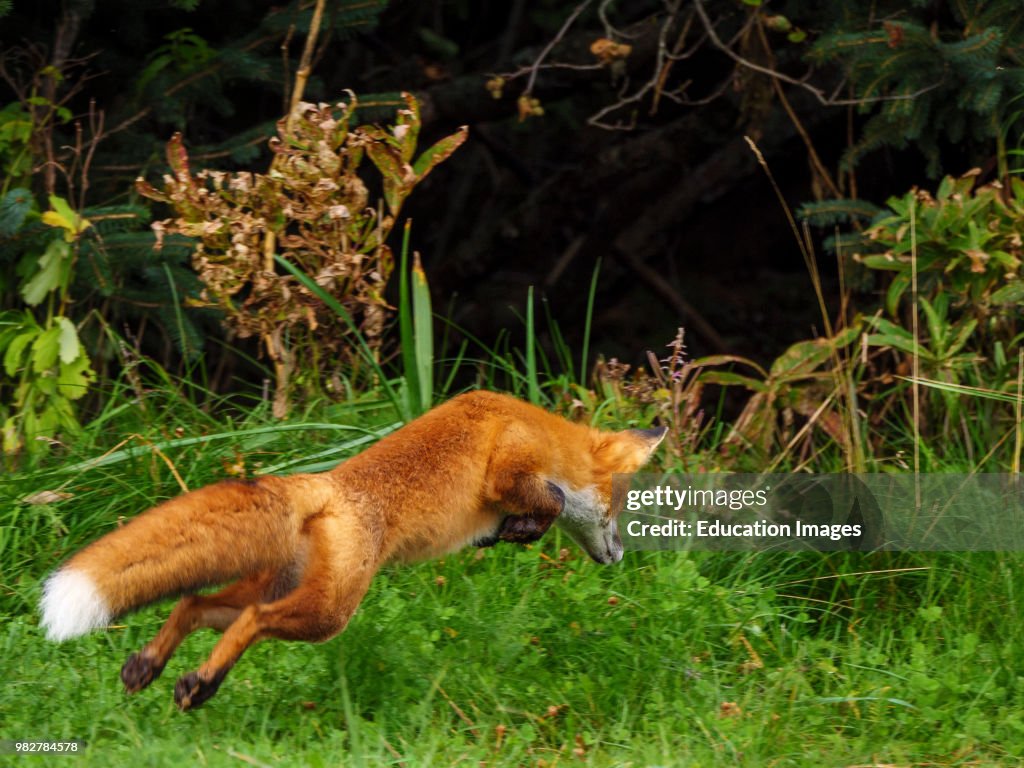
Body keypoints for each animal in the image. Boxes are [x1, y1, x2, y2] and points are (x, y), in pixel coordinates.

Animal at [39, 390, 666, 710]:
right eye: (619, 510)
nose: (620, 558)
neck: (546, 433)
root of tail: (325, 485)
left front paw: (508, 532)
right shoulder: (507, 470)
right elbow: (551, 502)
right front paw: (521, 527)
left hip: (287, 588)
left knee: (195, 604)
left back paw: (151, 667)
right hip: (328, 612)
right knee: (253, 619)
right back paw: (202, 684)